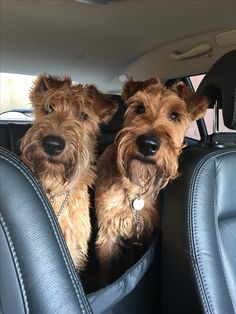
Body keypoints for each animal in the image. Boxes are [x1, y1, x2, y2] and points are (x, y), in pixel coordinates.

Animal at [95, 76, 207, 284]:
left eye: (174, 116)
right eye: (139, 108)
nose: (148, 144)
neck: (135, 189)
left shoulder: (145, 231)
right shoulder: (108, 231)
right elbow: (106, 273)